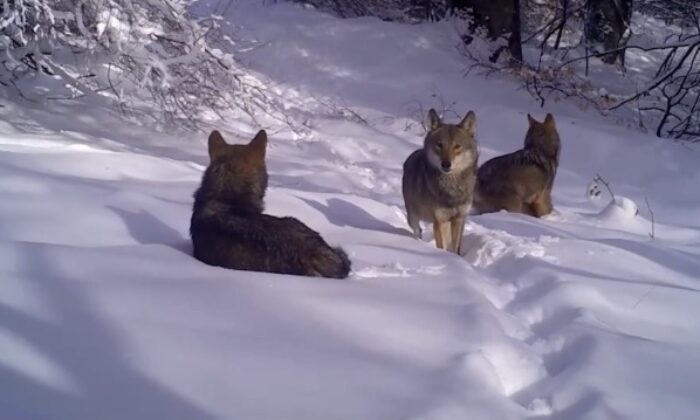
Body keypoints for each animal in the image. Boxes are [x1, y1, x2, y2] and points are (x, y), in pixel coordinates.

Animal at [402, 108, 478, 254]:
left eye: (457, 146)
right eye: (440, 145)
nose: (446, 164)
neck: (451, 188)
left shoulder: (458, 219)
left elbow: (455, 248)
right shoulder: (439, 221)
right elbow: (442, 247)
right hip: (413, 216)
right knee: (417, 230)